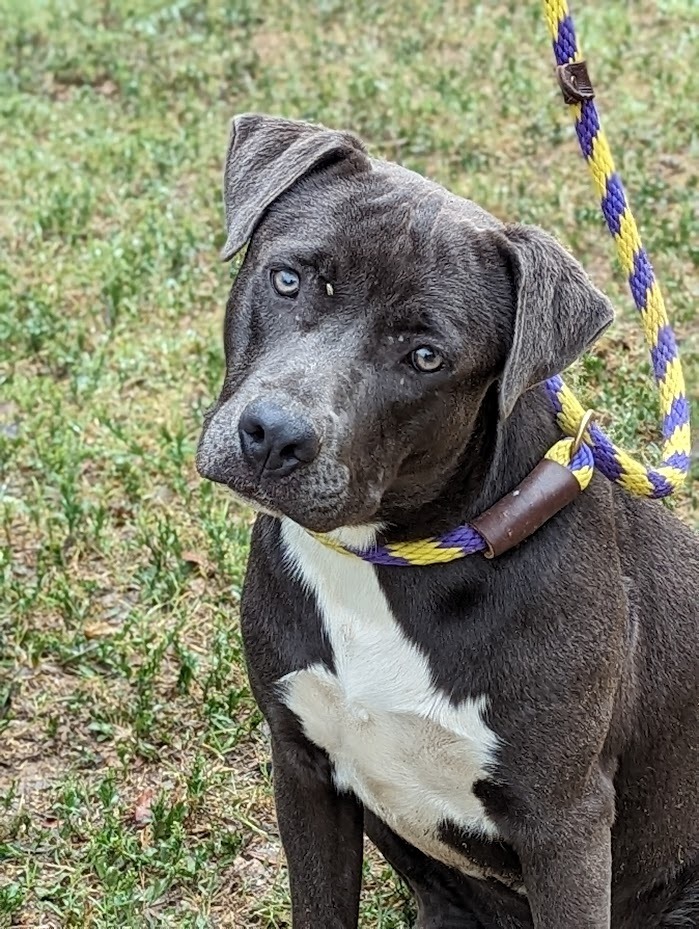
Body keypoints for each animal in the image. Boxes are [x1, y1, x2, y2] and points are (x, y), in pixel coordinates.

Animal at [197, 116, 699, 928]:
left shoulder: (565, 822)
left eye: (426, 356)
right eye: (289, 278)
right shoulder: (302, 764)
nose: (273, 437)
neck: (384, 563)